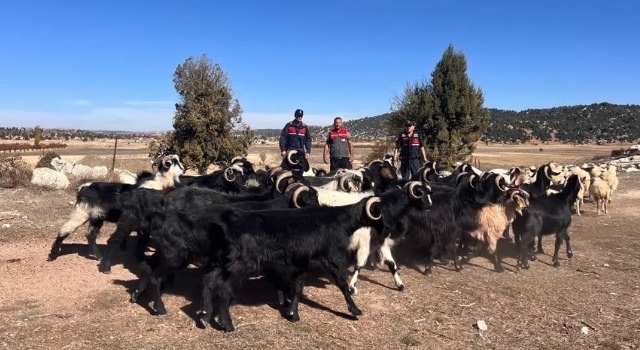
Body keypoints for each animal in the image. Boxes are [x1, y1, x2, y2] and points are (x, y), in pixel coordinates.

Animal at [46, 154, 182, 262]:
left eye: (176, 160)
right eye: (171, 162)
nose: (182, 167)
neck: (158, 185)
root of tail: (82, 189)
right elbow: (142, 240)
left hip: (96, 218)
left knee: (90, 236)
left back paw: (98, 257)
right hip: (82, 213)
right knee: (64, 231)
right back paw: (52, 256)